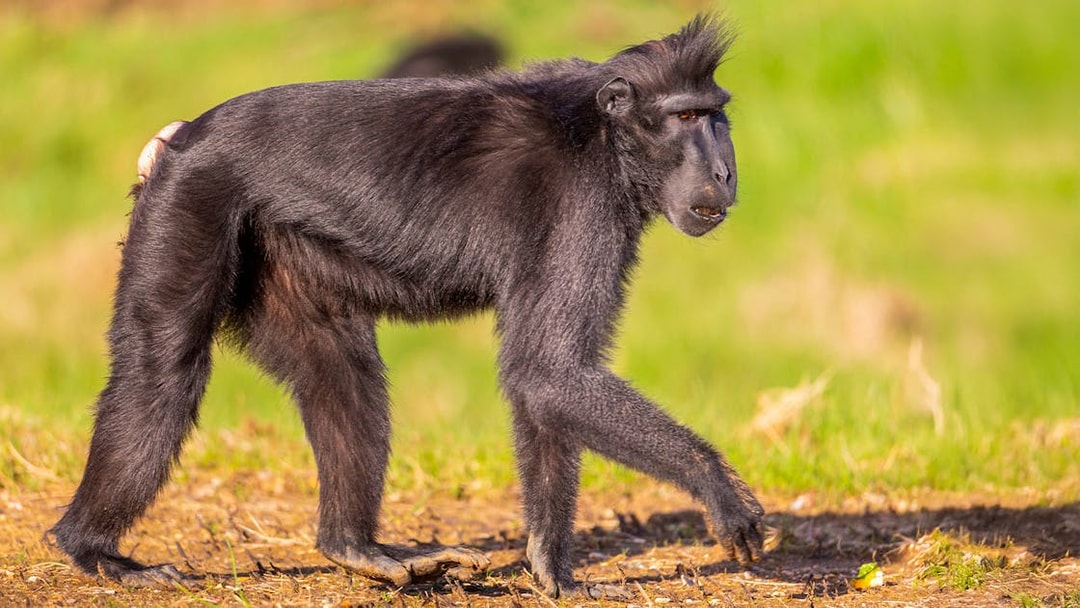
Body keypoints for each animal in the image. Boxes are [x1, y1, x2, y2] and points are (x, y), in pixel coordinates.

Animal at [51, 15, 764, 599]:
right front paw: (719, 489)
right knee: (163, 368)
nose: (725, 173)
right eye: (685, 119)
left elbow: (542, 385)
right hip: (191, 202)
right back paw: (94, 550)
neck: (605, 134)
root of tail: (185, 135)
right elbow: (548, 372)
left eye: (715, 114)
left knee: (339, 368)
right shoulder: (581, 203)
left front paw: (552, 570)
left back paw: (356, 549)